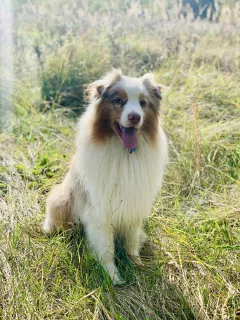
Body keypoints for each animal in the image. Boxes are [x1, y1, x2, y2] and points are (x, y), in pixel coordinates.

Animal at [42, 69, 168, 282]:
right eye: (119, 101)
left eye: (143, 103)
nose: (135, 117)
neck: (124, 153)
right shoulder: (100, 210)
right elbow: (107, 248)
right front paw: (113, 276)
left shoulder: (135, 203)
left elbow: (131, 241)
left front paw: (136, 264)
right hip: (60, 198)